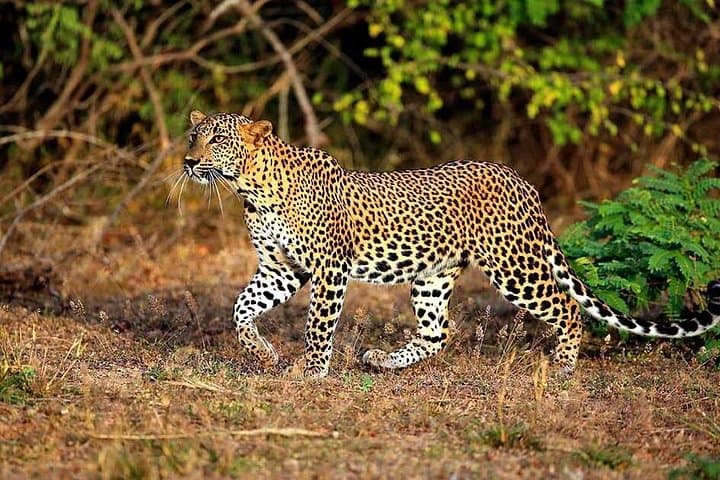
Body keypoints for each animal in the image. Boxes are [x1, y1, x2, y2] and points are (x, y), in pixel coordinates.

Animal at [180, 110, 720, 379]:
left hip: (514, 265)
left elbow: (317, 326)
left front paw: (309, 373)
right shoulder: (280, 269)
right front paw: (262, 354)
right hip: (433, 275)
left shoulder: (329, 268)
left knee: (567, 308)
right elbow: (241, 309)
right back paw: (383, 361)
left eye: (217, 140)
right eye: (192, 136)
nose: (187, 161)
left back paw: (563, 369)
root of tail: (521, 180)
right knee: (440, 332)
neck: (250, 188)